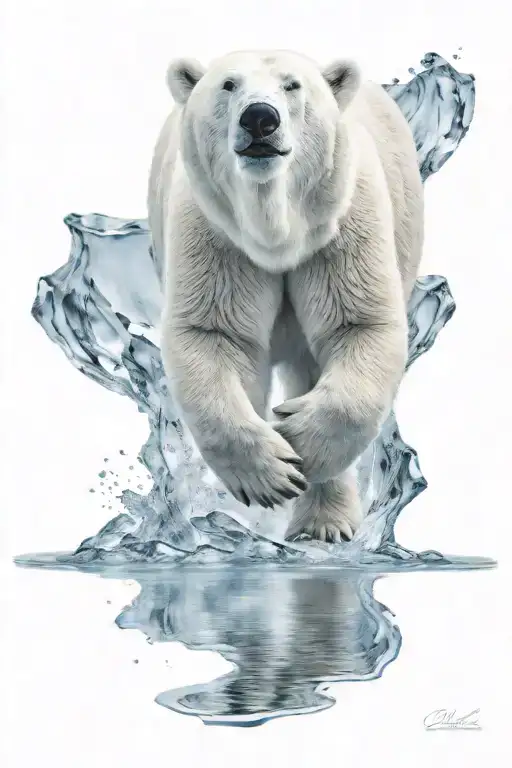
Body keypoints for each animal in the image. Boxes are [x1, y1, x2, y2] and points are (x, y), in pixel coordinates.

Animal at [148, 49, 423, 544]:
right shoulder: (215, 232)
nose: (260, 118)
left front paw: (299, 444)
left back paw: (322, 522)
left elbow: (359, 324)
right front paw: (269, 473)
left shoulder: (343, 221)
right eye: (229, 84)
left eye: (293, 85)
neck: (277, 230)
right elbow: (215, 334)